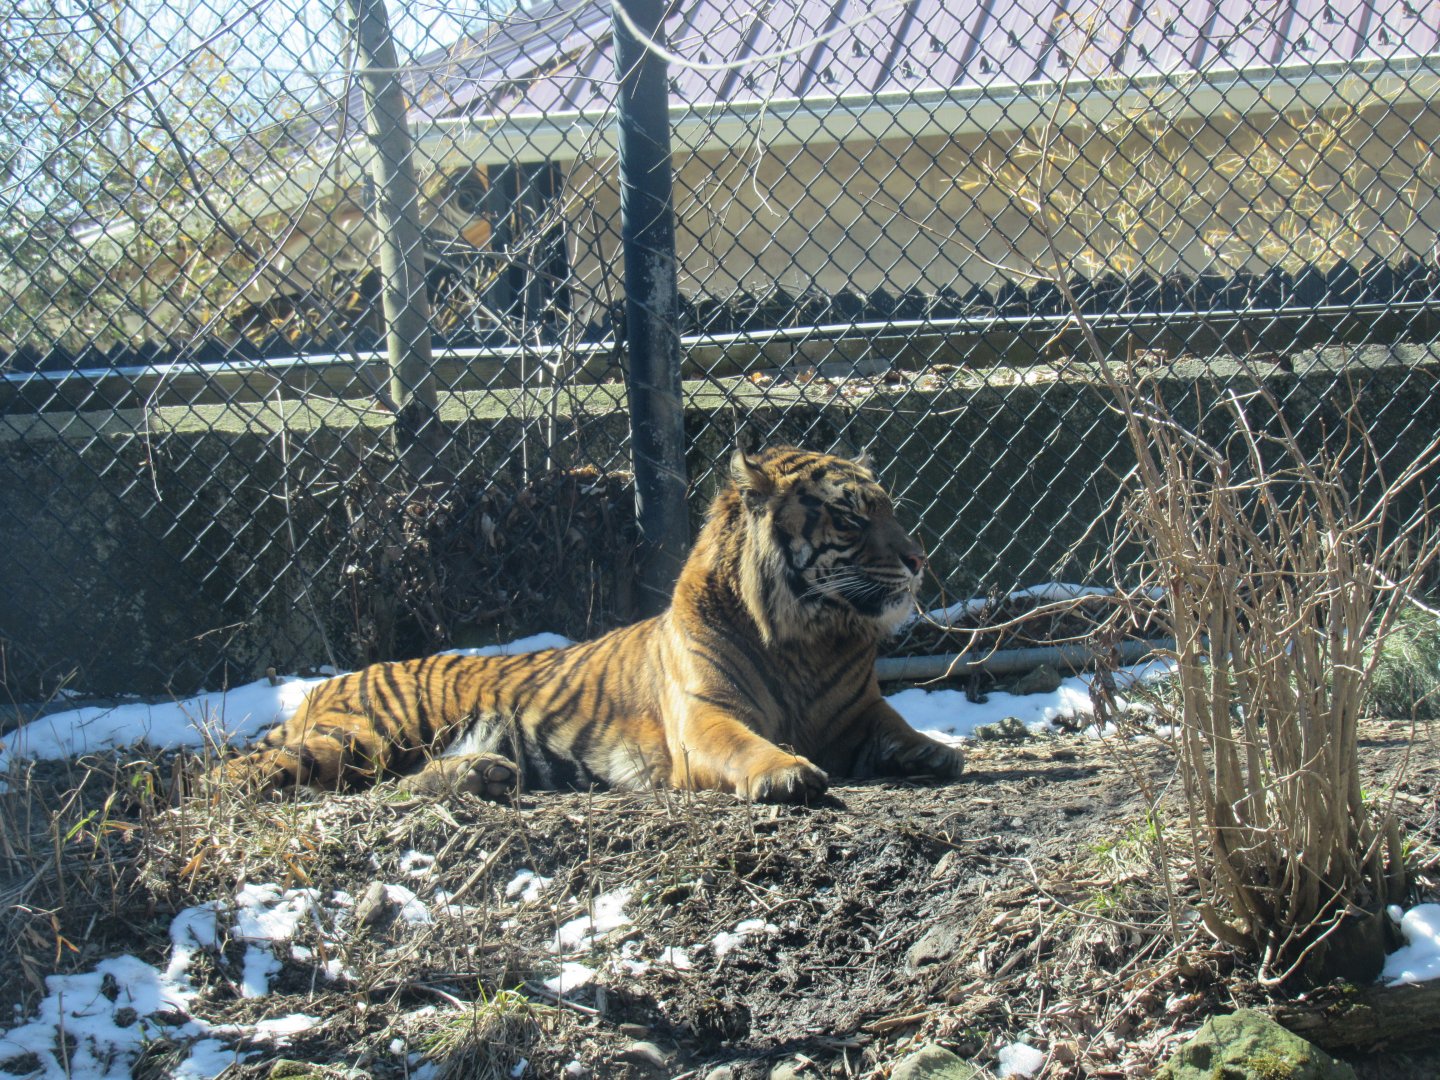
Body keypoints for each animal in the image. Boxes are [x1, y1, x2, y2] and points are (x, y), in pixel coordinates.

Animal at [212, 446, 966, 803]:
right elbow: (746, 747)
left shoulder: (857, 709)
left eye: (887, 508)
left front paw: (934, 751)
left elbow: (897, 724)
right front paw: (785, 774)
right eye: (850, 517)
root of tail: (319, 687)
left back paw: (482, 774)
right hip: (362, 735)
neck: (809, 640)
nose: (919, 559)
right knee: (236, 778)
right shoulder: (704, 716)